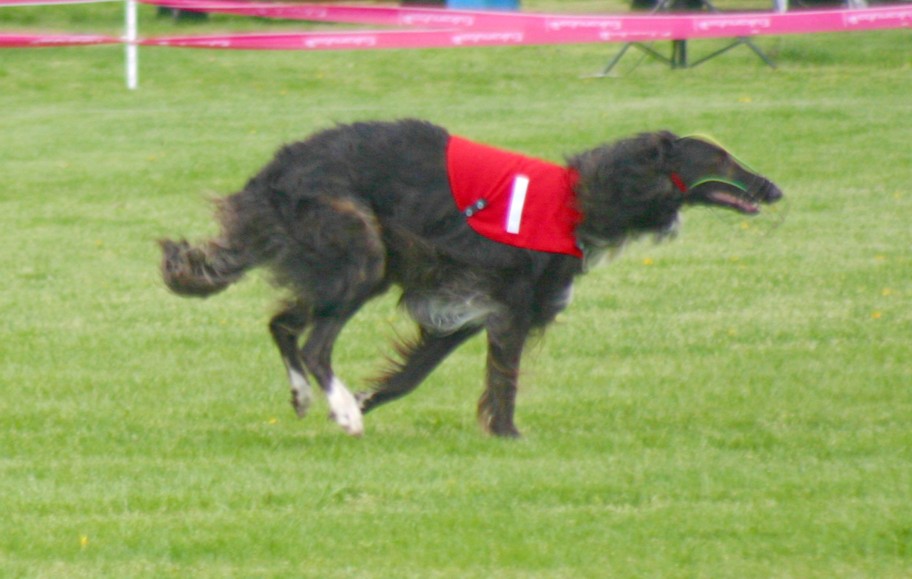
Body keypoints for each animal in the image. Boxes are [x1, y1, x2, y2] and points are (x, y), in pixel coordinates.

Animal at [160, 119, 782, 437]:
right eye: (721, 160)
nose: (773, 188)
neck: (583, 199)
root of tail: (274, 173)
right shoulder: (510, 305)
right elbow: (503, 379)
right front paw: (507, 435)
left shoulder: (465, 310)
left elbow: (409, 376)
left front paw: (366, 397)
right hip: (361, 254)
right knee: (314, 343)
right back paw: (340, 410)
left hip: (338, 262)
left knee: (283, 324)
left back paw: (310, 397)